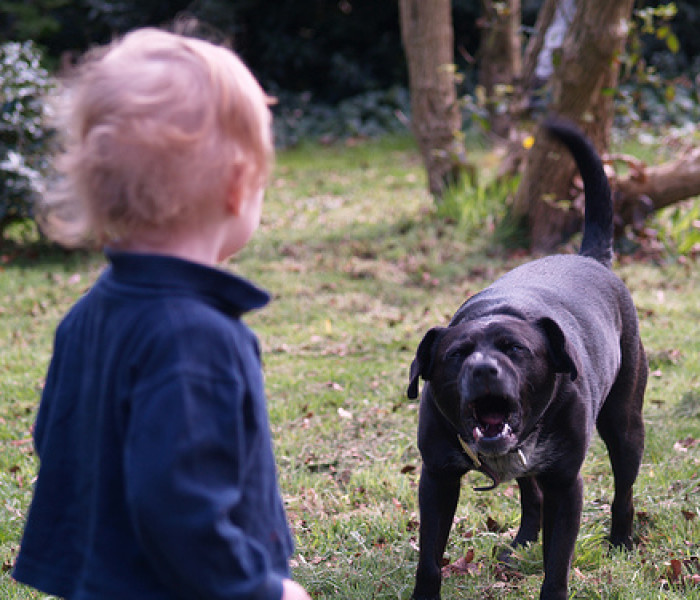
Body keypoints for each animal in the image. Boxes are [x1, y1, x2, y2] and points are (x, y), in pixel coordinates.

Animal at [408, 118, 648, 600]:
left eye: (515, 349)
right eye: (457, 354)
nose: (484, 369)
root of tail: (591, 259)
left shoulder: (566, 484)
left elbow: (558, 563)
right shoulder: (437, 479)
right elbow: (429, 558)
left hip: (625, 424)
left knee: (623, 491)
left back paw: (621, 541)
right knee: (529, 495)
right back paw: (521, 542)